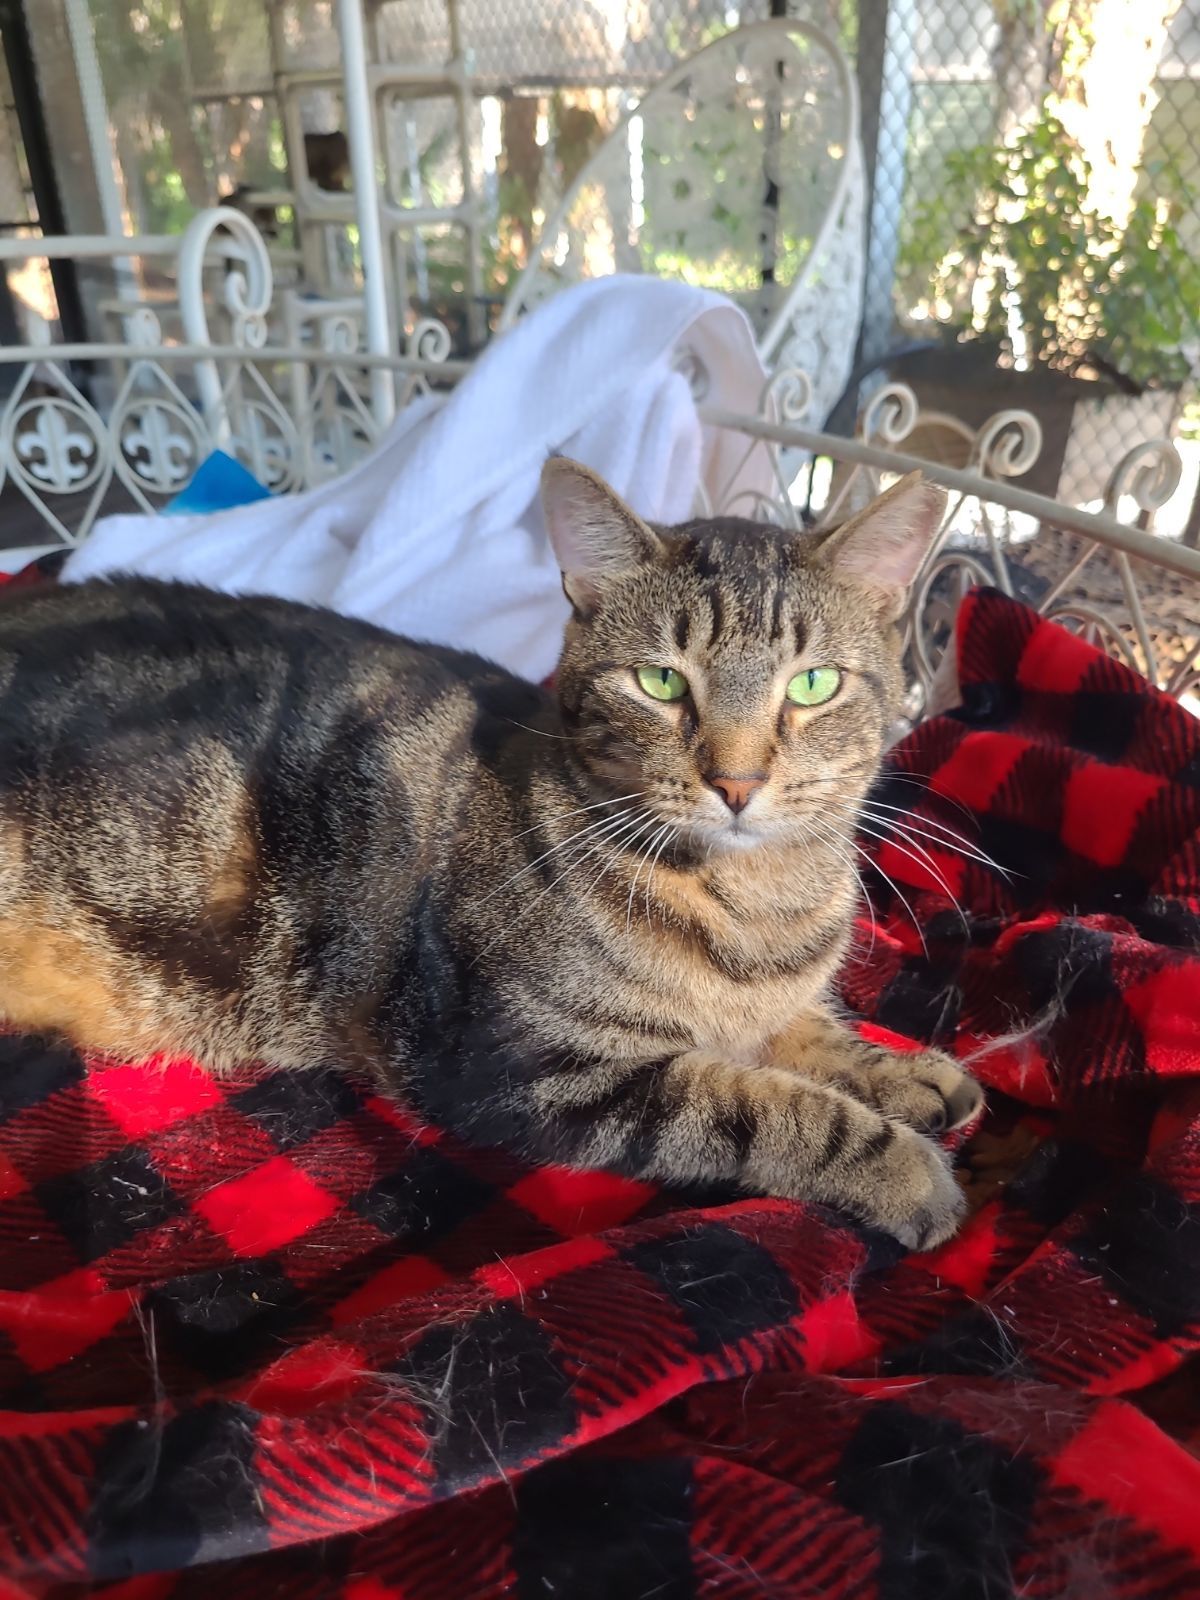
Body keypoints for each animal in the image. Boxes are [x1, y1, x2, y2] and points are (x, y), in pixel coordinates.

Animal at [0, 464, 979, 1248]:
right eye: (660, 681)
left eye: (813, 685)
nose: (736, 781)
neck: (754, 905)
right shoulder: (514, 1065)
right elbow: (760, 1105)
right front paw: (902, 1169)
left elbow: (815, 1033)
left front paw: (905, 1072)